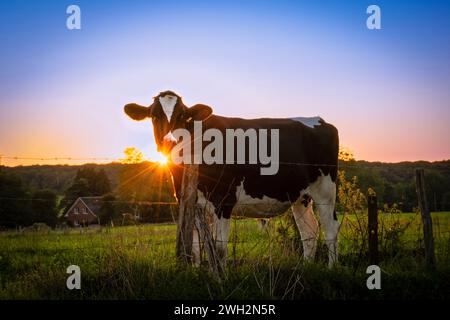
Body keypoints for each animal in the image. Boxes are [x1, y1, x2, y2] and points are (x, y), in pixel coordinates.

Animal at [125, 90, 340, 264]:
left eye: (182, 115)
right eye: (154, 116)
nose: (170, 142)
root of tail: (319, 120)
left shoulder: (223, 201)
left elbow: (220, 249)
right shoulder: (189, 203)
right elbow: (194, 250)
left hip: (325, 190)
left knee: (330, 228)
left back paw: (332, 267)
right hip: (300, 196)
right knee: (309, 231)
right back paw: (305, 268)